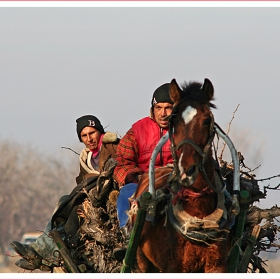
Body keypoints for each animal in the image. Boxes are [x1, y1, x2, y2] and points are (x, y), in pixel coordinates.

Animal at [132, 77, 231, 272]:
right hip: (142, 261)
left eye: (206, 120)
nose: (187, 170)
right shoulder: (173, 266)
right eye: (174, 121)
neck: (198, 213)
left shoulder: (217, 265)